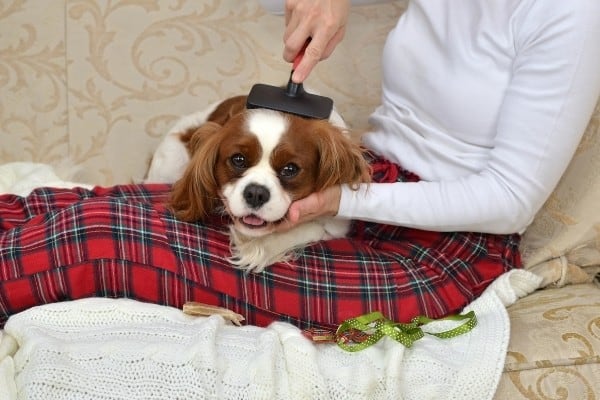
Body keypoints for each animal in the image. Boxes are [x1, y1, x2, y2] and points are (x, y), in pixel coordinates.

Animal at [146, 95, 370, 274]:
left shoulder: (336, 224)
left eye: (290, 169)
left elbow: (308, 228)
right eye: (238, 159)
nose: (255, 193)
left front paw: (256, 247)